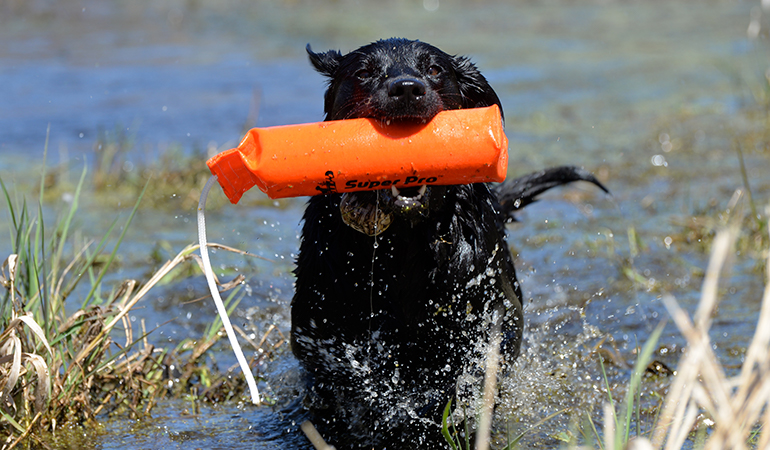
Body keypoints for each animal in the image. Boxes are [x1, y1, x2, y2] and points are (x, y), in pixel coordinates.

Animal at [290, 39, 608, 450]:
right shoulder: (320, 329)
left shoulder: (490, 315)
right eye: (363, 72)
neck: (402, 242)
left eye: (435, 70)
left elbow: (469, 376)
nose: (407, 88)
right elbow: (346, 380)